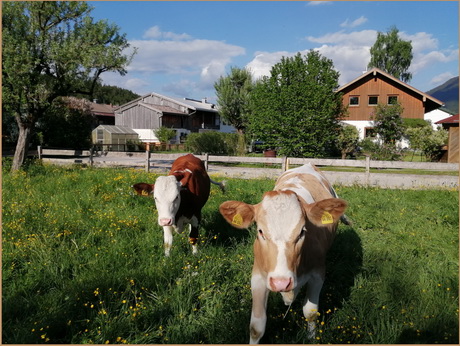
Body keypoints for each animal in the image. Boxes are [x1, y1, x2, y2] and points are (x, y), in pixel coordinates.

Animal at [221, 164, 346, 344]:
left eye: (302, 232)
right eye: (260, 231)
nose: (281, 282)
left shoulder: (318, 274)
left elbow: (310, 312)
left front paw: (311, 338)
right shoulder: (258, 276)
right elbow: (256, 326)